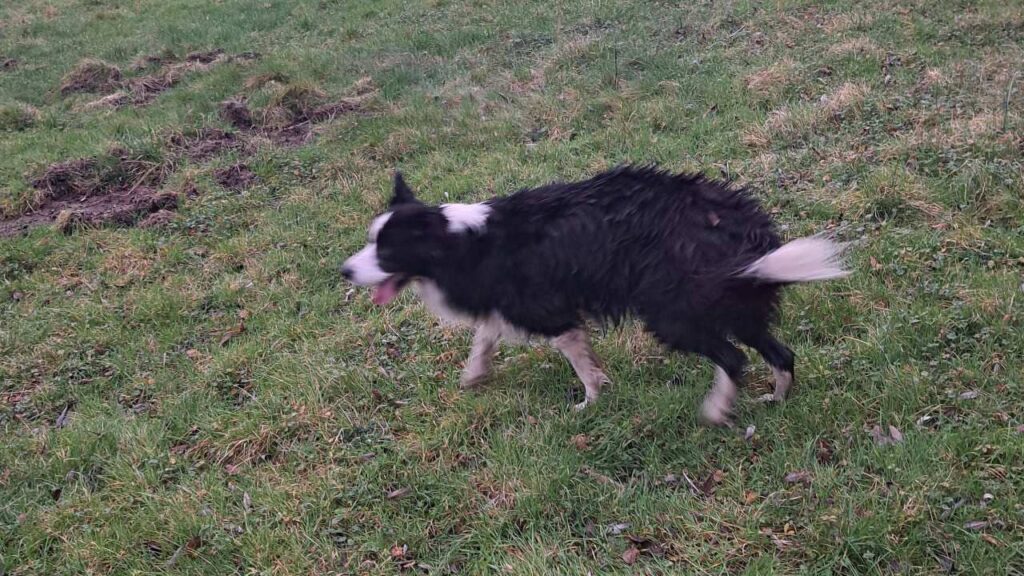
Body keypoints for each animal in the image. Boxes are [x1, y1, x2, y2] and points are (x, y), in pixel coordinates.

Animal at [344, 165, 847, 422]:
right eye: (371, 240)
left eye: (386, 250)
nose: (344, 270)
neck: (459, 241)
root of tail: (739, 226)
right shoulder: (510, 303)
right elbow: (485, 337)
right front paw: (474, 376)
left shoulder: (550, 311)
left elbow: (578, 360)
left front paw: (591, 400)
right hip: (737, 302)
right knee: (780, 353)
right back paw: (776, 399)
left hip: (672, 313)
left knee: (733, 358)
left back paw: (716, 409)